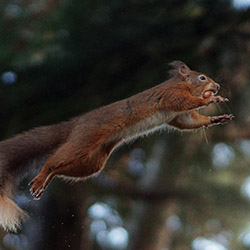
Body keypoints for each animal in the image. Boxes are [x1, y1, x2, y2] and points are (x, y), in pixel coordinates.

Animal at [0, 60, 233, 230]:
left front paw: (216, 118)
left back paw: (46, 181)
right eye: (202, 77)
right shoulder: (171, 95)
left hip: (93, 162)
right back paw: (41, 177)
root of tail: (75, 124)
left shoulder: (180, 117)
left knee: (61, 169)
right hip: (84, 141)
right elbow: (183, 103)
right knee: (53, 160)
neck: (185, 84)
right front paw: (210, 100)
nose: (218, 86)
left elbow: (188, 122)